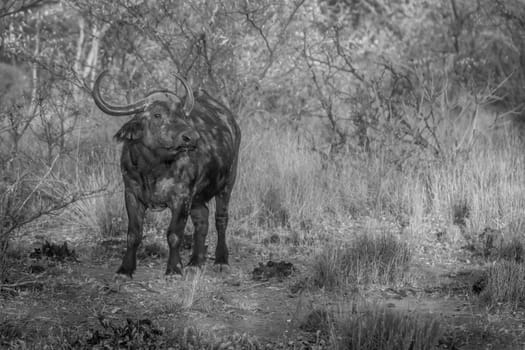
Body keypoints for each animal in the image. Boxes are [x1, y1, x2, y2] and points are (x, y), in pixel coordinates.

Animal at [92, 71, 242, 278]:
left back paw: (221, 261)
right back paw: (195, 262)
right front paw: (125, 269)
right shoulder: (131, 193)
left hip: (227, 183)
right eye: (157, 114)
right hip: (198, 198)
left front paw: (173, 269)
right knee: (202, 219)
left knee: (221, 219)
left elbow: (174, 235)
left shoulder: (182, 197)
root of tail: (232, 123)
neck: (153, 169)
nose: (191, 138)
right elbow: (133, 234)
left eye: (183, 115)